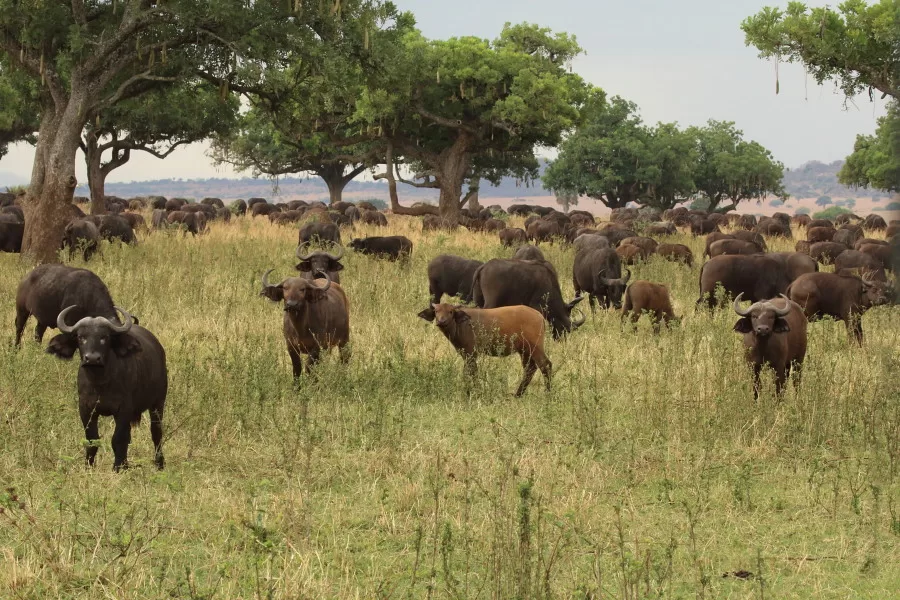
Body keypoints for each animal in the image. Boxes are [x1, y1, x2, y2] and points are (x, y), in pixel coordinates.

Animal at [47, 308, 167, 472]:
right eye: (81, 337)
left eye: (105, 337)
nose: (92, 358)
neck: (100, 383)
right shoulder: (86, 409)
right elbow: (92, 440)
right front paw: (89, 466)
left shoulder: (124, 410)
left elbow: (118, 439)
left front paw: (117, 468)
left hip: (158, 403)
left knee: (156, 433)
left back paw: (159, 463)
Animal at [418, 302, 552, 396]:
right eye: (436, 311)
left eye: (450, 311)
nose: (441, 321)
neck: (462, 324)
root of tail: (539, 316)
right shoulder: (465, 353)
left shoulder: (471, 352)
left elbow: (471, 371)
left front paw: (473, 391)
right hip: (524, 350)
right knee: (530, 368)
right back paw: (518, 394)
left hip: (535, 347)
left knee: (545, 365)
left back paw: (548, 393)